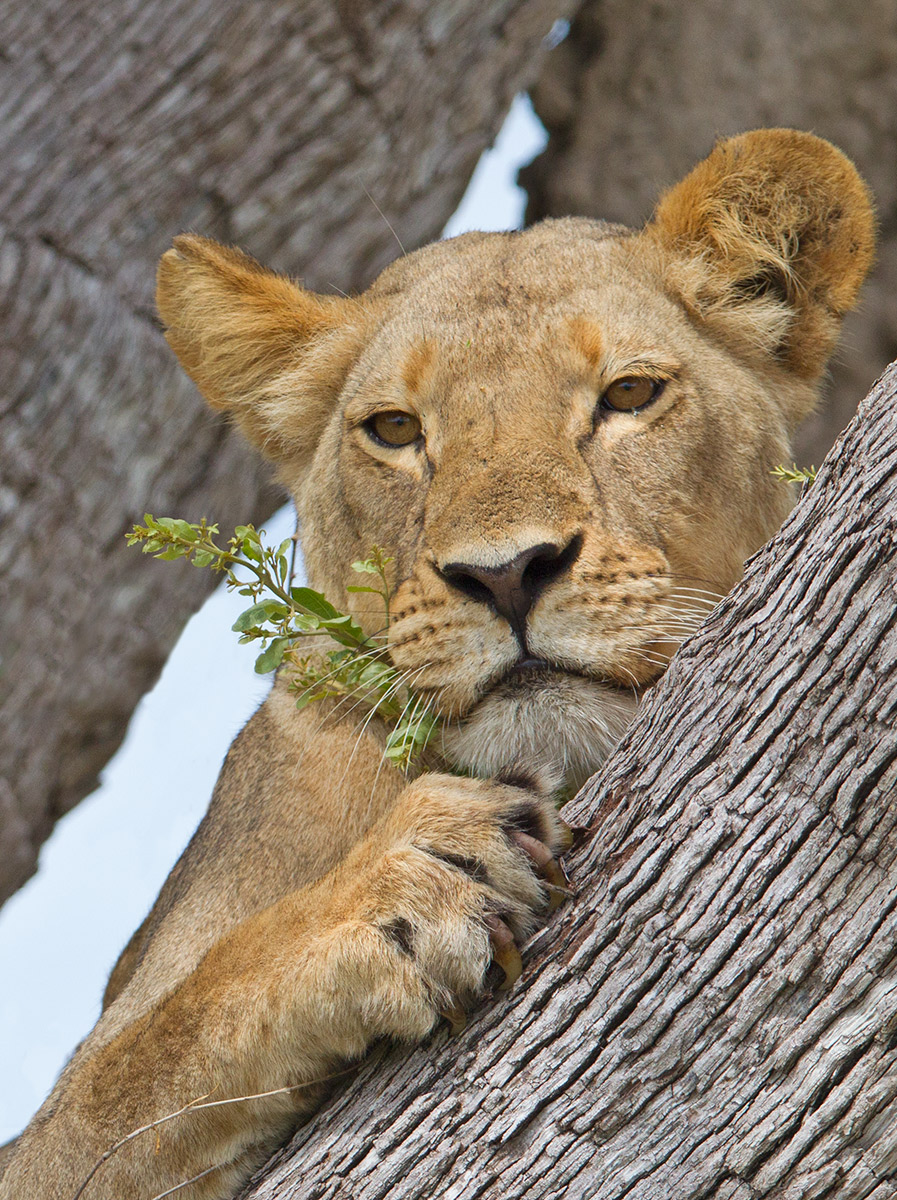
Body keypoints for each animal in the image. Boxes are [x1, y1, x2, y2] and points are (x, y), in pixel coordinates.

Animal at [0, 129, 874, 1199]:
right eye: (395, 430)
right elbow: (152, 1050)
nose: (504, 574)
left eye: (629, 394)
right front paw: (408, 885)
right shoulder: (61, 1127)